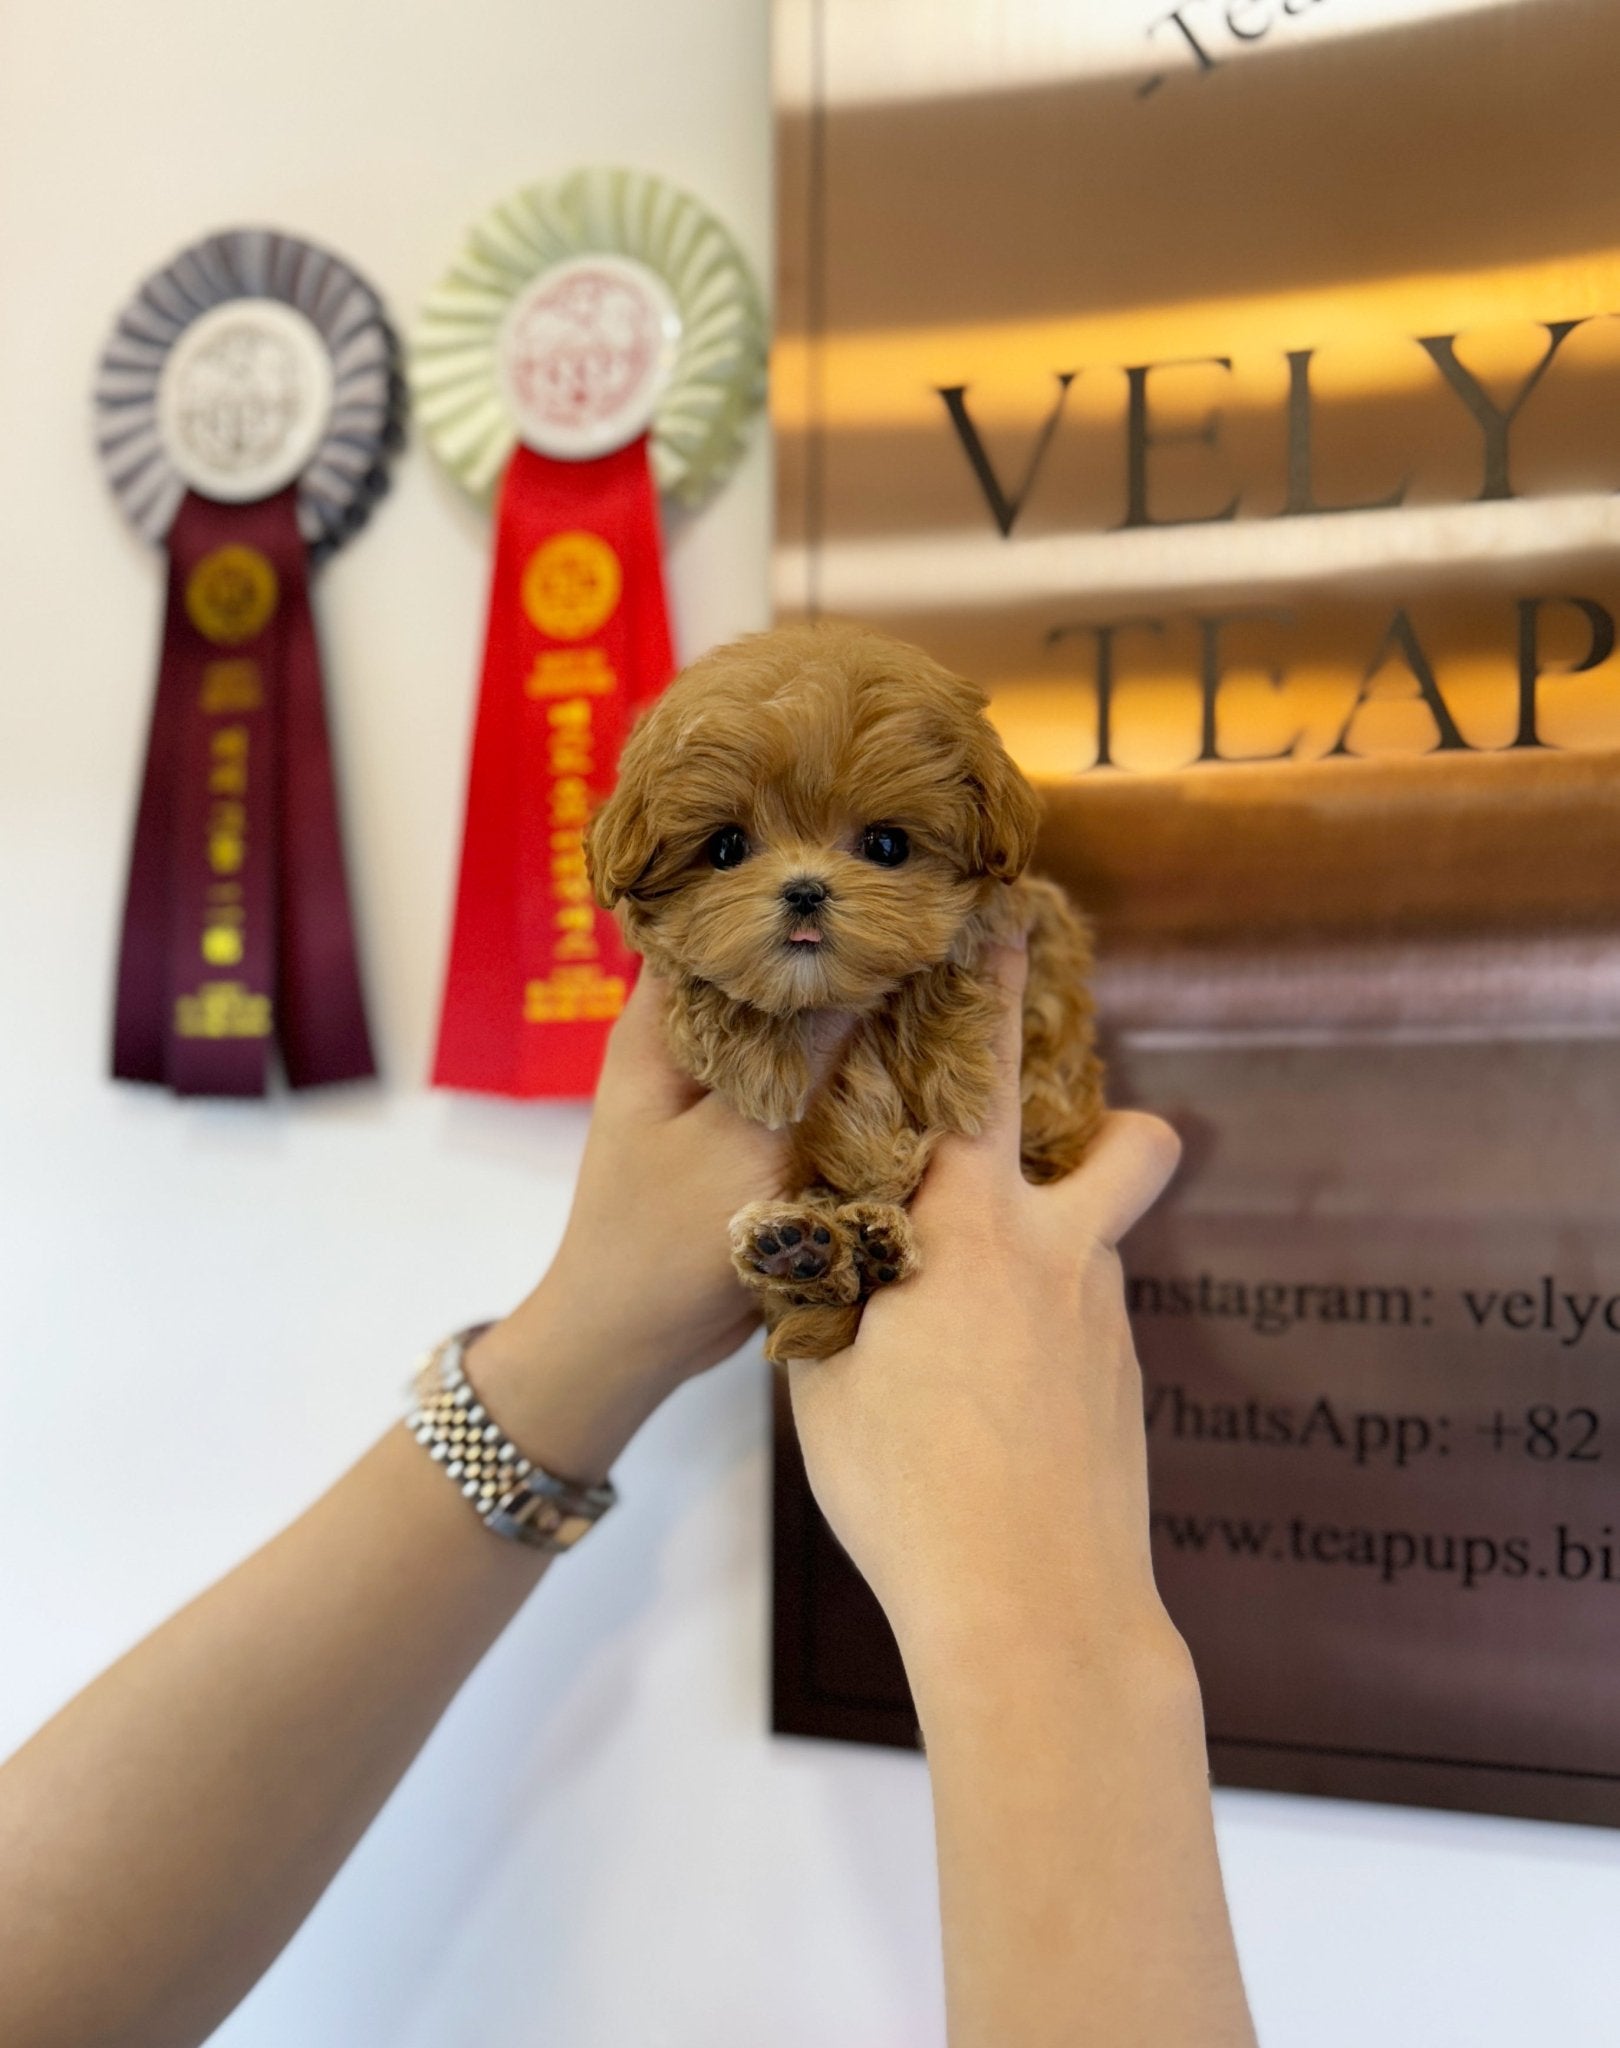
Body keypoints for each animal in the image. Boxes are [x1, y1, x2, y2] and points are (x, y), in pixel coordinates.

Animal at [589, 622, 1105, 1359]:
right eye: (725, 848)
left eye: (887, 845)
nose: (805, 890)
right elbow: (703, 989)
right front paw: (758, 1058)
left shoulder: (1033, 933)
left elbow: (951, 959)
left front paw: (947, 1066)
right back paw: (809, 1249)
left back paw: (859, 1241)